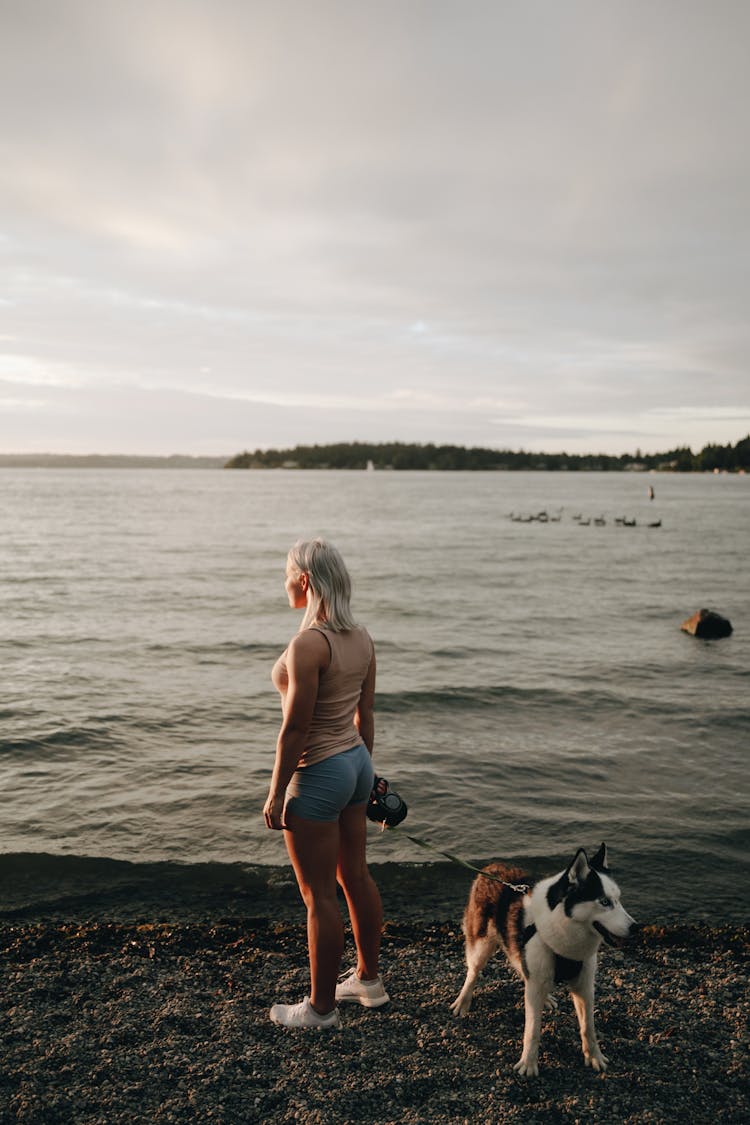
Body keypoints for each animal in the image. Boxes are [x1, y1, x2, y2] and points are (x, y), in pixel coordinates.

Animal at [449, 846, 638, 1075]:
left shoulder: (584, 985)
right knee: (473, 972)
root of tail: (491, 867)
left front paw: (594, 1056)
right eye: (604, 902)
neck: (563, 927)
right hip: (481, 944)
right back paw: (463, 999)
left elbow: (588, 1028)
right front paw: (529, 1063)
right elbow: (532, 1030)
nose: (636, 928)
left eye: (618, 899)